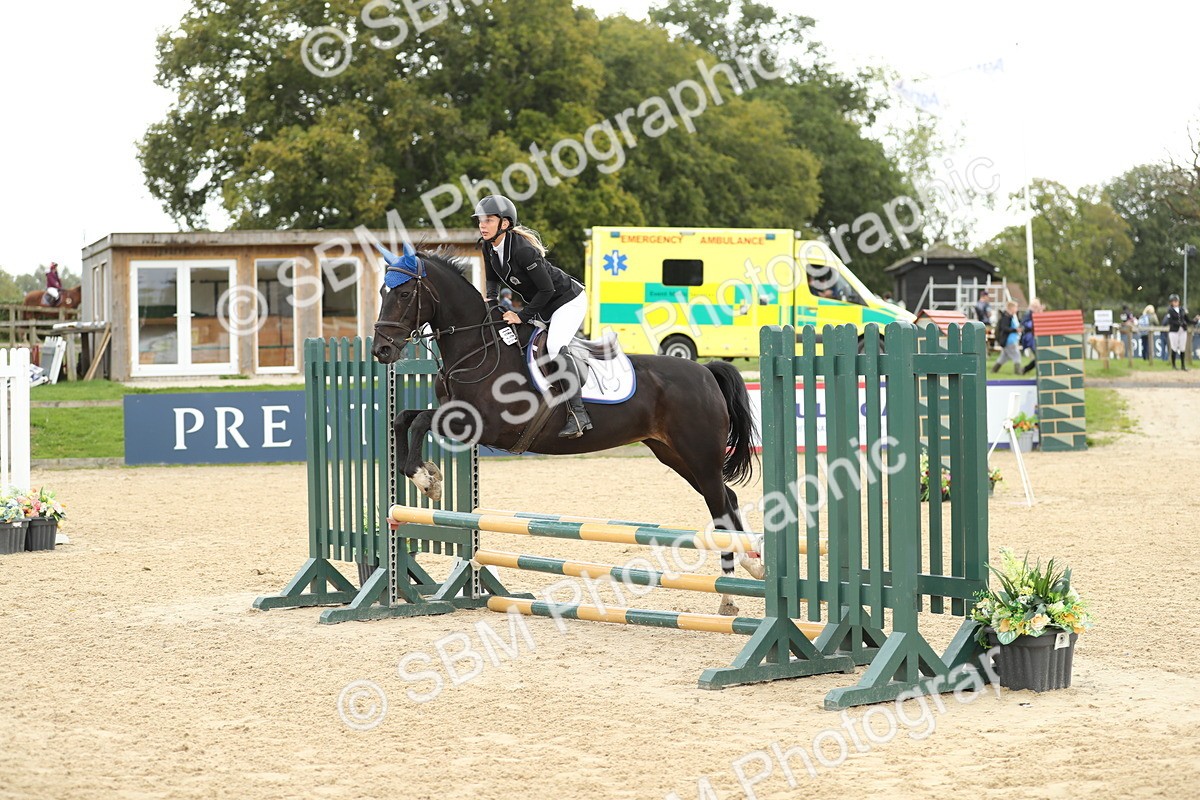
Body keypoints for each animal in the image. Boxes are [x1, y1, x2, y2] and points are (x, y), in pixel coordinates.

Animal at [371, 246, 763, 615]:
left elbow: (421, 420)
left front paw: (427, 480)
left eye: (403, 294)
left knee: (720, 506)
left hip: (699, 455)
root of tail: (705, 372)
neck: (477, 349)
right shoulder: (459, 417)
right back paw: (752, 567)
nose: (381, 350)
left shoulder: (483, 425)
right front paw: (425, 474)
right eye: (382, 291)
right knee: (728, 499)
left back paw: (729, 597)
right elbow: (403, 418)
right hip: (675, 455)